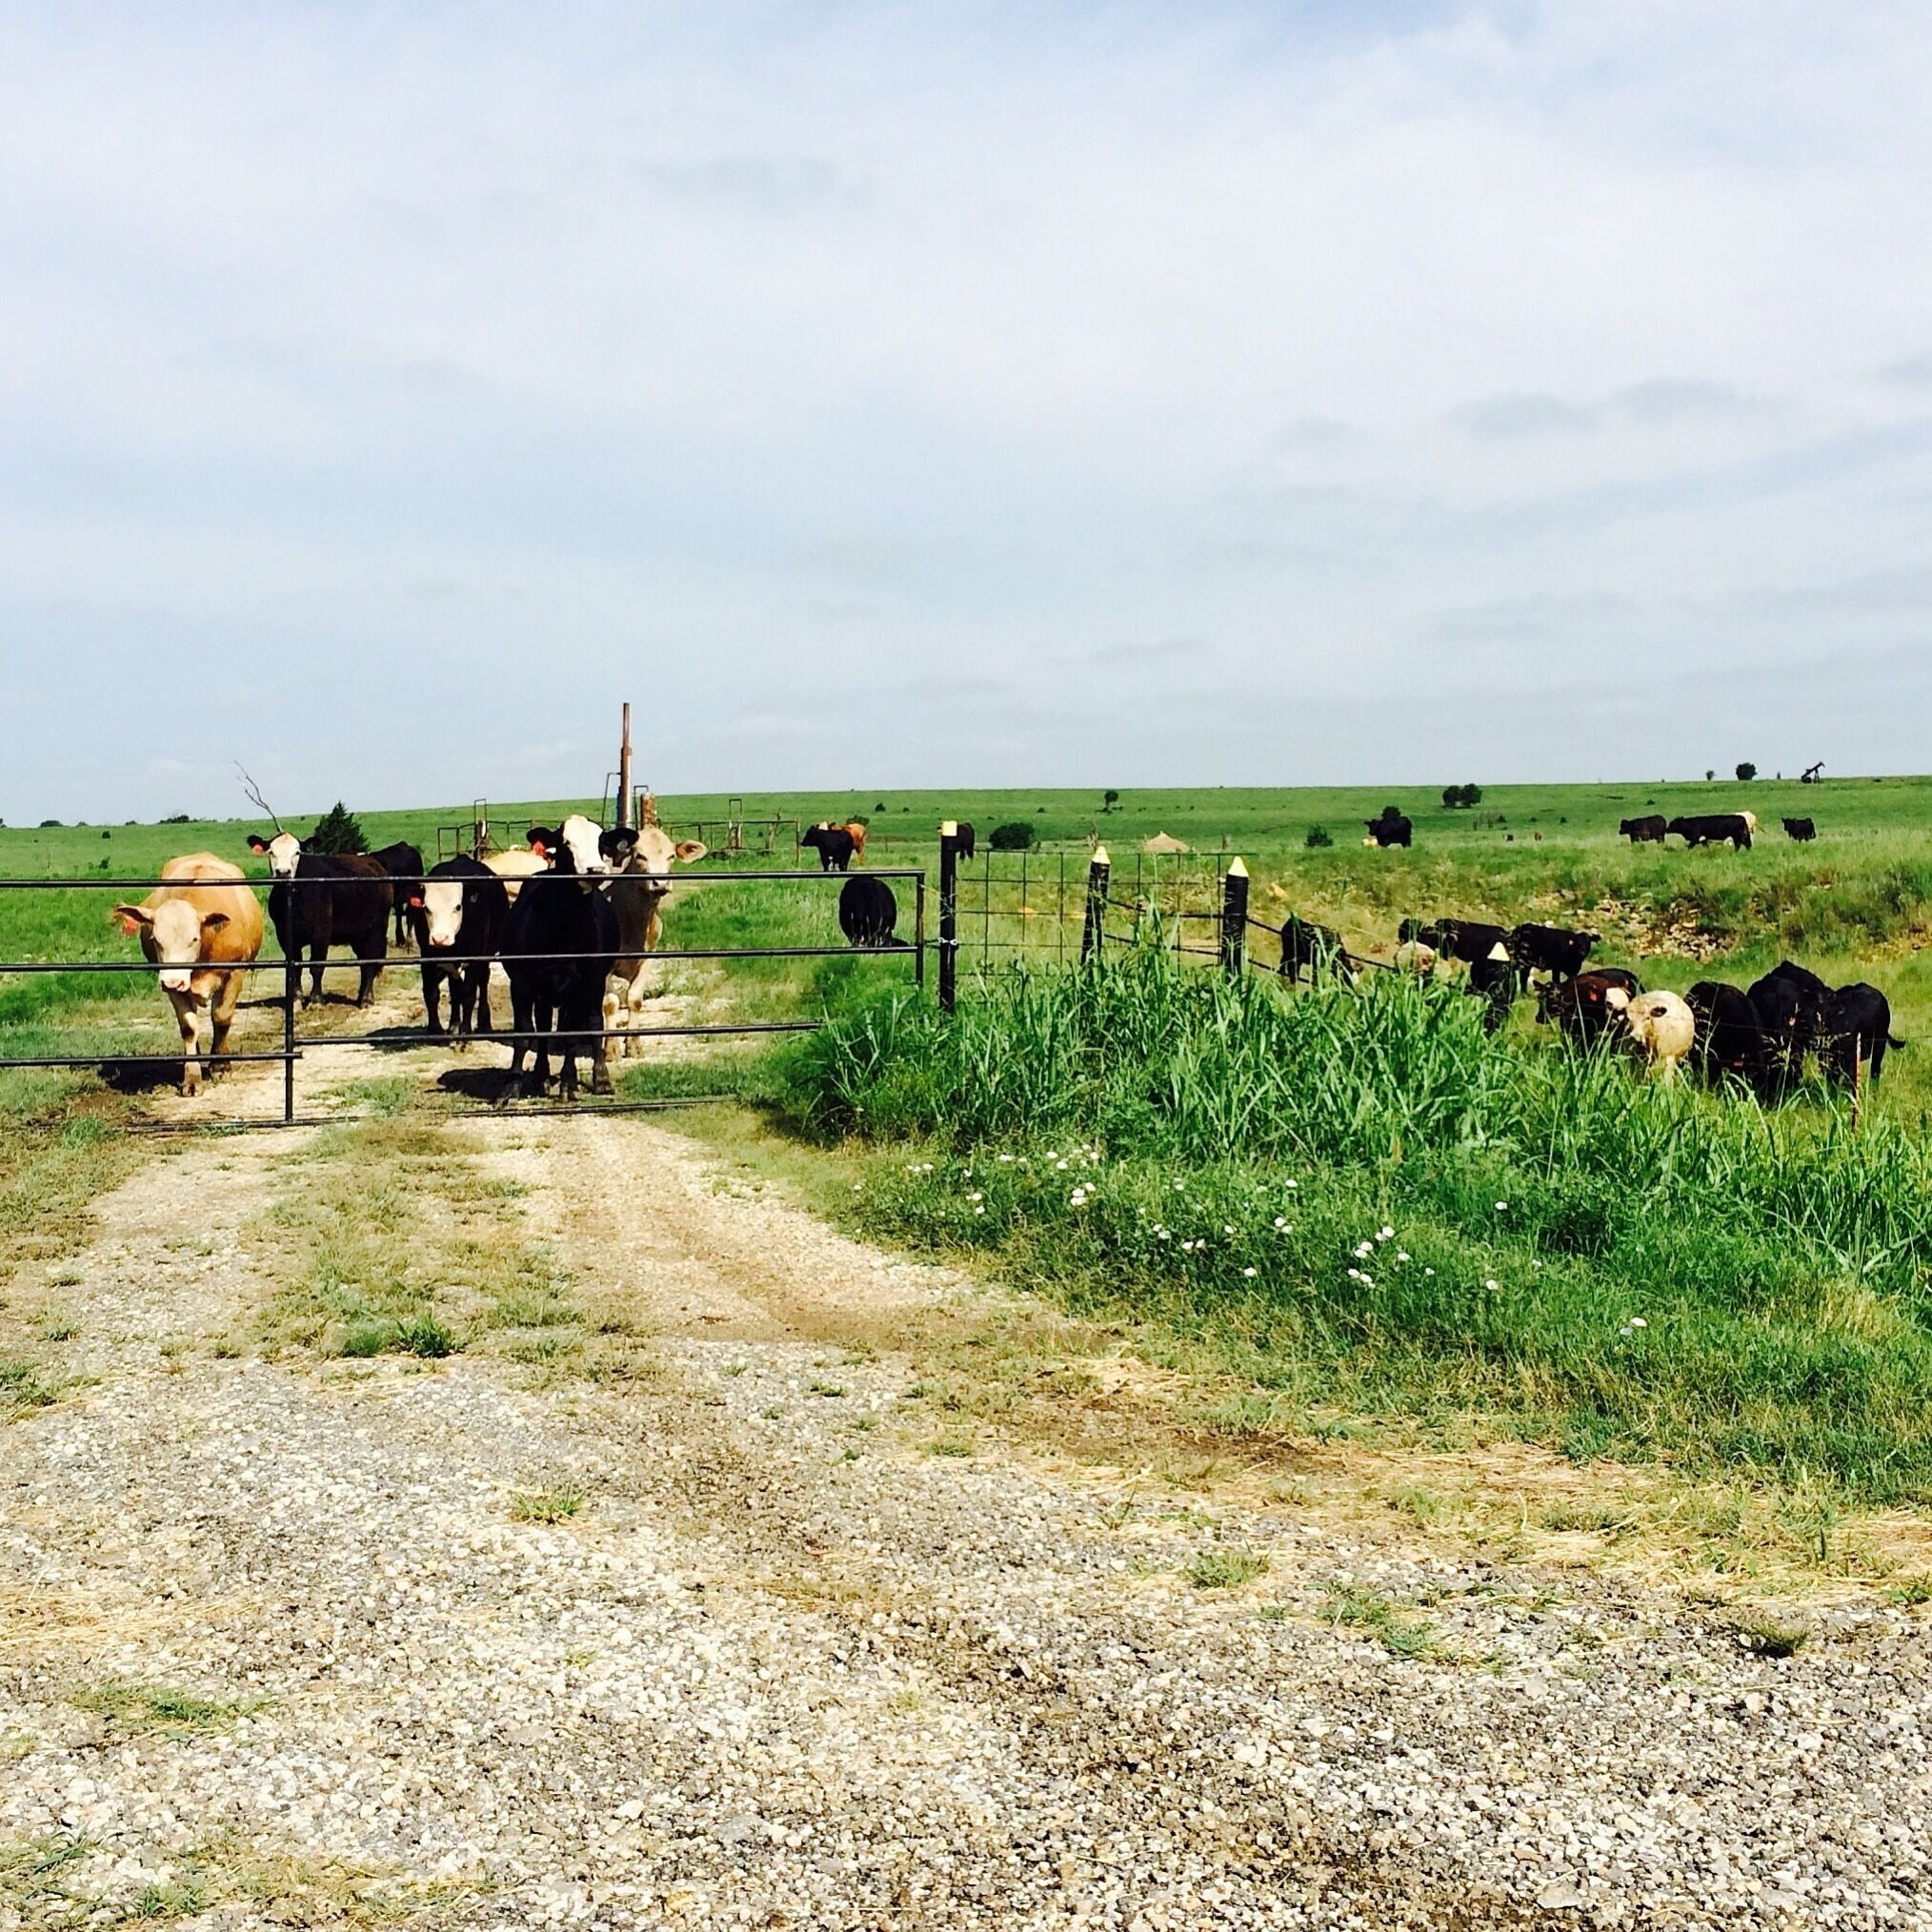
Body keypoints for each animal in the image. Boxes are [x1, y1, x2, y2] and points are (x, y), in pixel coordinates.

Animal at [113, 855, 265, 1096]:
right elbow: (189, 1028)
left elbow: (221, 1017)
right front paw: (192, 1078)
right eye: (155, 939)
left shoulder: (235, 972)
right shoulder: (173, 987)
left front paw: (220, 1066)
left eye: (194, 939)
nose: (172, 981)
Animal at [249, 836, 390, 1007]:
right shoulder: (283, 934)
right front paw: (297, 998)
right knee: (363, 962)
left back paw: (366, 999)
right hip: (358, 935)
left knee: (370, 960)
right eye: (271, 852)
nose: (283, 872)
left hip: (377, 927)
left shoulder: (321, 932)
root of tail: (374, 863)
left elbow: (316, 966)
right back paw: (363, 996)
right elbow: (296, 968)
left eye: (297, 852)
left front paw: (316, 1000)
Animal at [407, 856, 509, 1042]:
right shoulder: (427, 957)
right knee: (455, 989)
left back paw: (484, 1023)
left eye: (458, 907)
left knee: (482, 982)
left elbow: (468, 994)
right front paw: (435, 1029)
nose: (440, 938)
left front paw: (465, 1030)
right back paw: (453, 1024)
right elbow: (431, 993)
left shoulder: (475, 957)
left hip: (485, 956)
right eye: (426, 908)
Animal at [500, 829, 618, 1099]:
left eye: (601, 842)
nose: (595, 870)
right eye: (566, 843)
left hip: (592, 987)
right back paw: (542, 1076)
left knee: (594, 1022)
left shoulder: (583, 984)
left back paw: (599, 1078)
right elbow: (525, 1033)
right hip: (546, 992)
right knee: (544, 1027)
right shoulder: (521, 983)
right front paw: (511, 1087)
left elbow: (572, 1036)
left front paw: (567, 1084)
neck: (564, 930)